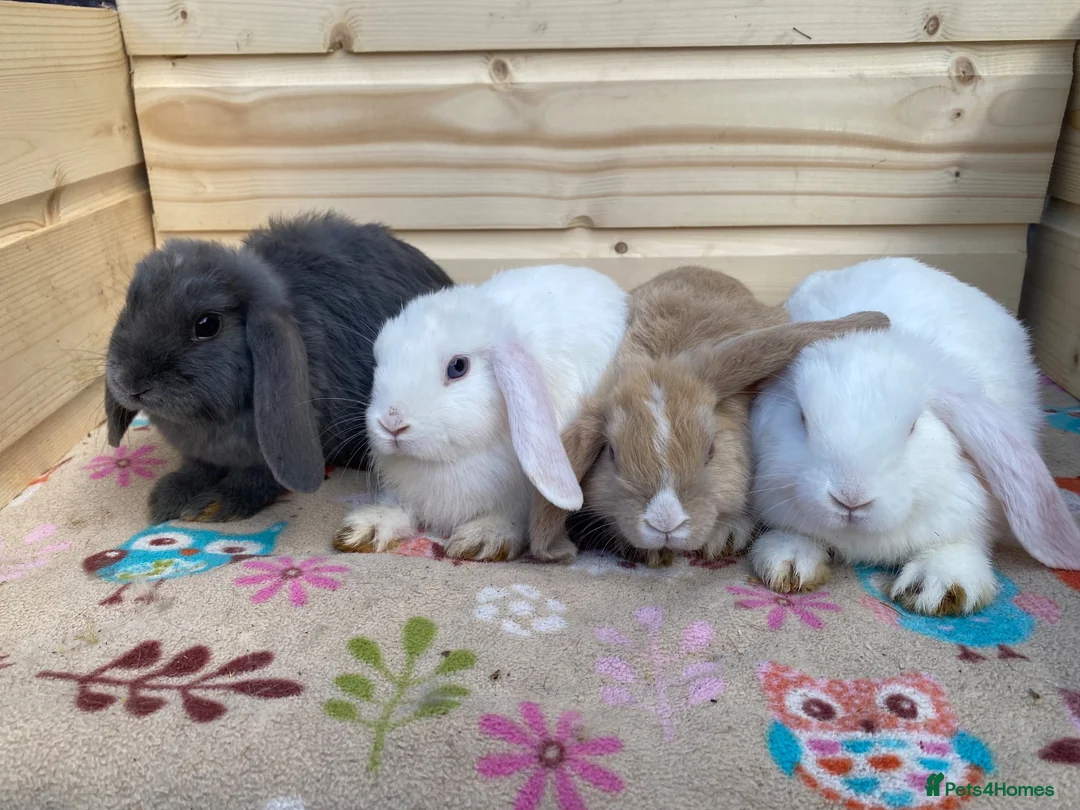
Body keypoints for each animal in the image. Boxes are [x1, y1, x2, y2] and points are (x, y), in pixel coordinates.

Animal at [104, 211, 454, 523]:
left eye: (207, 325)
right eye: (130, 304)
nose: (130, 383)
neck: (208, 424)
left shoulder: (270, 453)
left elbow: (259, 477)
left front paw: (215, 504)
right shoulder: (200, 454)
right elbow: (197, 468)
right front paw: (168, 496)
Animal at [332, 264, 629, 562]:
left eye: (458, 367)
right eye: (378, 362)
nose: (391, 423)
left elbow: (514, 518)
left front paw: (483, 539)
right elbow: (400, 509)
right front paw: (365, 528)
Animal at [748, 257, 1080, 616]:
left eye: (913, 426)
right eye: (802, 418)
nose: (851, 499)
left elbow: (960, 541)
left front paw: (939, 587)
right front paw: (788, 561)